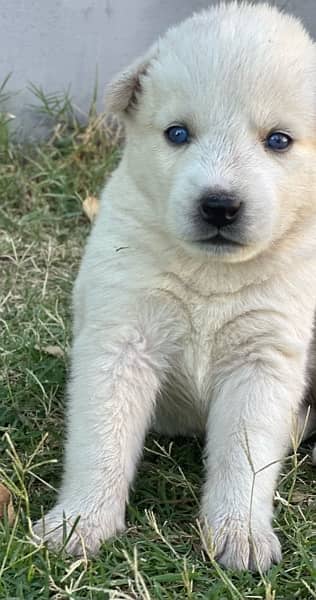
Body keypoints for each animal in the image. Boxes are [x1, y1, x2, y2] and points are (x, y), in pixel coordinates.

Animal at [35, 1, 316, 572]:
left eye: (278, 140)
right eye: (178, 133)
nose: (219, 205)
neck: (212, 273)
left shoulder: (264, 356)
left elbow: (247, 454)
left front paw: (240, 533)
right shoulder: (122, 339)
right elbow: (101, 439)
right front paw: (78, 523)